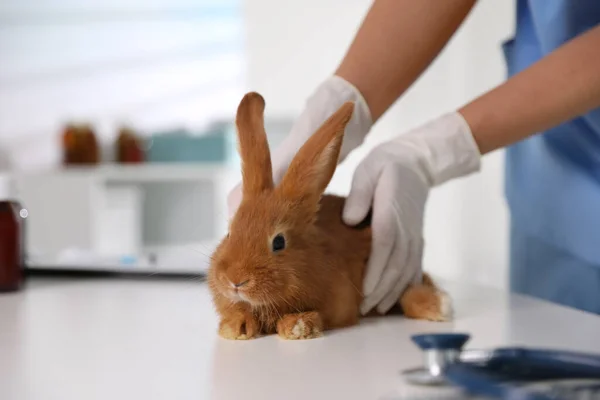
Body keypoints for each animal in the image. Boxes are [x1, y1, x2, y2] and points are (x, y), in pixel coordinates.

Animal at [209, 92, 452, 340]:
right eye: (229, 233)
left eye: (278, 242)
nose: (236, 281)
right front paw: (235, 326)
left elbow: (319, 316)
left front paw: (297, 326)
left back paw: (439, 306)